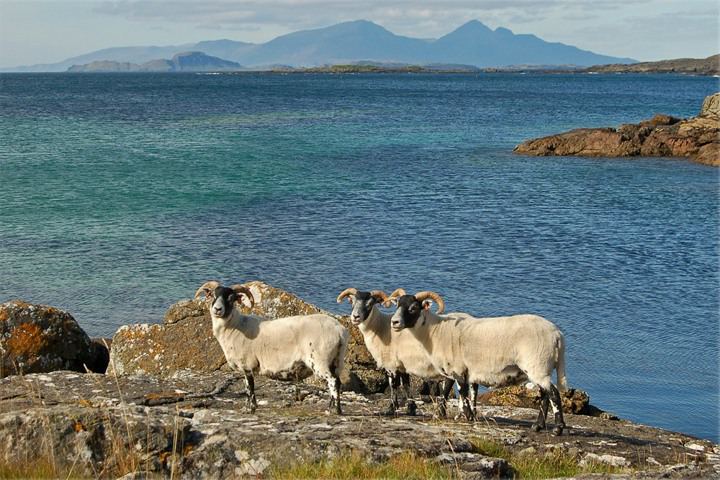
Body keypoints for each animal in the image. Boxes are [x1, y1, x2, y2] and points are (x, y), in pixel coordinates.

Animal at [195, 281, 349, 414]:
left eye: (231, 298)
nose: (217, 309)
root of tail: (339, 330)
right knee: (337, 383)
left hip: (319, 360)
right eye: (213, 296)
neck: (235, 327)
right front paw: (248, 407)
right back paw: (333, 409)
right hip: (336, 360)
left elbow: (250, 388)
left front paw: (250, 409)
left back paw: (334, 411)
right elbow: (247, 387)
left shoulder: (248, 365)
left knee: (333, 382)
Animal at [336, 287, 474, 417]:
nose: (355, 317)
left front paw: (390, 409)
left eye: (370, 304)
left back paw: (446, 412)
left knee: (451, 384)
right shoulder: (403, 364)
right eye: (352, 302)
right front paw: (411, 409)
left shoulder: (391, 365)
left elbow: (394, 386)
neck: (381, 329)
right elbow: (406, 385)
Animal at [388, 290, 568, 435]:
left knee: (553, 394)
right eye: (397, 304)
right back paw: (538, 426)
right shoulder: (458, 369)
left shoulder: (458, 369)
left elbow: (462, 393)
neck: (436, 331)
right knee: (545, 395)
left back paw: (558, 429)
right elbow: (452, 391)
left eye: (413, 308)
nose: (394, 322)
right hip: (540, 368)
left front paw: (467, 416)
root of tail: (557, 334)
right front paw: (452, 414)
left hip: (537, 366)